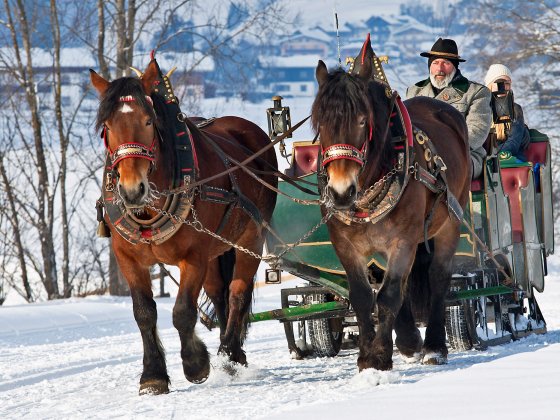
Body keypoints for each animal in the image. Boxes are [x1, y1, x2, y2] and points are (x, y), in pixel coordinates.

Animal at [89, 60, 278, 396]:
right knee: (219, 294)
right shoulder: (128, 258)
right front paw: (153, 376)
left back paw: (230, 354)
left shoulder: (193, 257)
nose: (131, 190)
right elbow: (143, 312)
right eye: (107, 127)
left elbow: (183, 311)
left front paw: (196, 363)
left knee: (237, 293)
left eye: (148, 121)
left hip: (251, 239)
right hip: (217, 250)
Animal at [312, 37, 470, 370]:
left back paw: (433, 346)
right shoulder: (344, 244)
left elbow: (388, 295)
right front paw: (367, 354)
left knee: (437, 276)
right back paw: (410, 338)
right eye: (321, 124)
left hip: (450, 221)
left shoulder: (403, 240)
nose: (341, 192)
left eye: (362, 121)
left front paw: (380, 356)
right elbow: (363, 296)